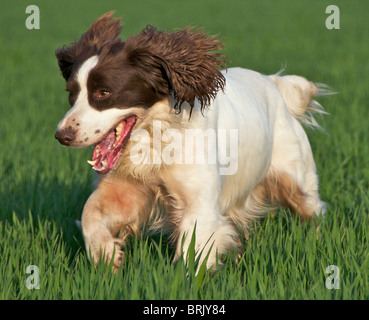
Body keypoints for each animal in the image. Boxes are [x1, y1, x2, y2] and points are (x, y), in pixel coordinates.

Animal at [54, 11, 324, 270]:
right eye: (71, 94)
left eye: (104, 92)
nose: (62, 135)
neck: (156, 139)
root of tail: (273, 82)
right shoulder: (125, 190)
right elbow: (90, 212)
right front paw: (106, 255)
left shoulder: (198, 204)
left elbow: (192, 254)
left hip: (295, 180)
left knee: (313, 211)